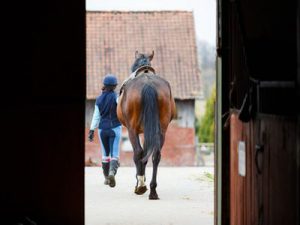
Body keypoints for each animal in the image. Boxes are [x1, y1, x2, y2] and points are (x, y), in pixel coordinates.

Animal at [116, 50, 176, 199]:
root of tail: (148, 84)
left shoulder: (136, 131)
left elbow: (140, 153)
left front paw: (139, 181)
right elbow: (146, 153)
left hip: (132, 130)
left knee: (138, 153)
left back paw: (141, 186)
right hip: (161, 131)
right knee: (156, 155)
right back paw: (153, 190)